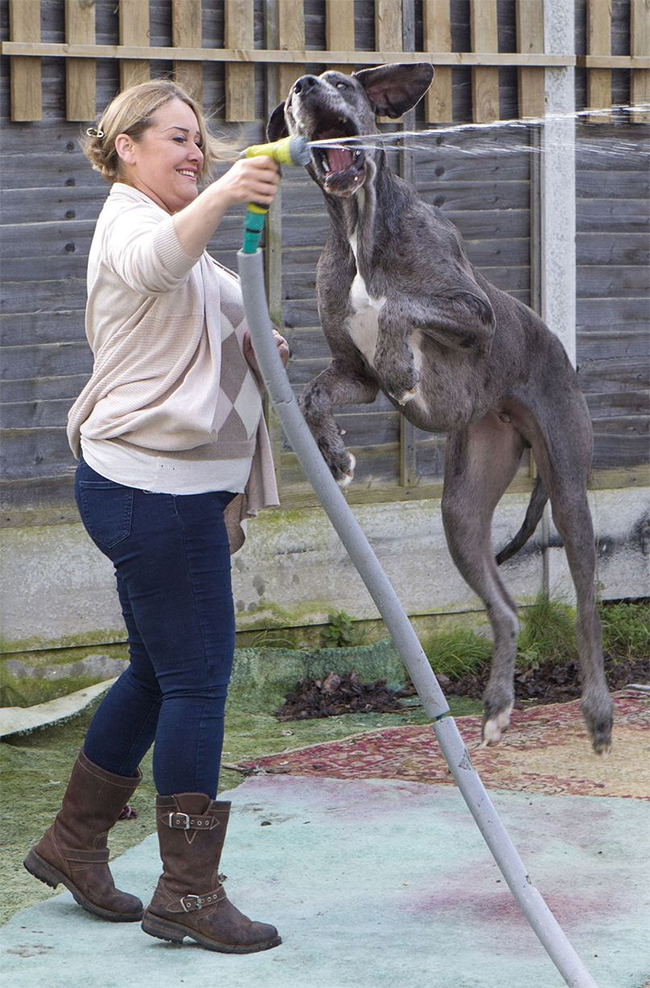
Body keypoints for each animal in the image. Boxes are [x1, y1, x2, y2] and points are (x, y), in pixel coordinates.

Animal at [268, 61, 612, 752]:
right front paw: (336, 458)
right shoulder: (353, 376)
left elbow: (401, 308)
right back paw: (498, 708)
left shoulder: (472, 313)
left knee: (587, 606)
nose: (303, 87)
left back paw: (597, 714)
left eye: (342, 81)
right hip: (462, 505)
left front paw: (402, 358)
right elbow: (317, 393)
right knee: (505, 609)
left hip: (567, 485)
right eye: (294, 96)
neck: (359, 227)